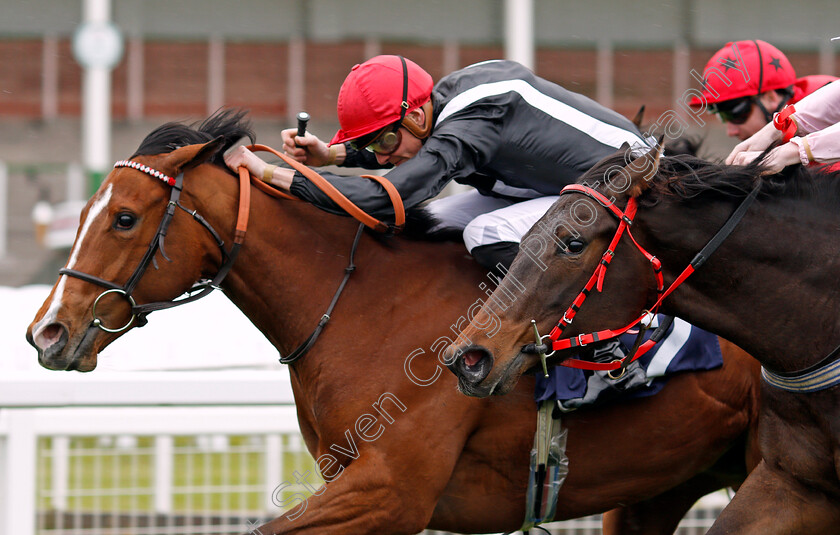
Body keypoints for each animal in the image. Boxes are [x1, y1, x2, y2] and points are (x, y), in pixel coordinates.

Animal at [26, 111, 764, 532]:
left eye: (124, 218)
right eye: (85, 211)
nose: (46, 332)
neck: (360, 305)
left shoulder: (391, 491)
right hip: (666, 481)